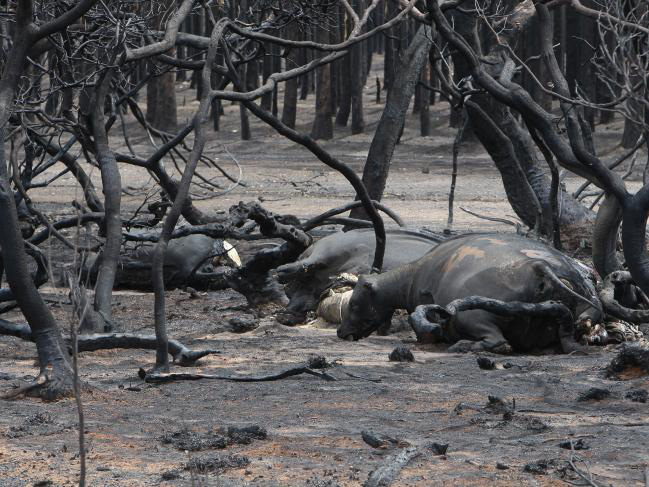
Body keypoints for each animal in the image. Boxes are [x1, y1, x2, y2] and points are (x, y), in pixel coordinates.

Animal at [336, 234, 604, 352]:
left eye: (354, 305)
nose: (340, 331)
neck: (412, 276)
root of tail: (539, 266)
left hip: (470, 316)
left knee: (499, 342)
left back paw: (464, 346)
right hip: (582, 311)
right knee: (571, 337)